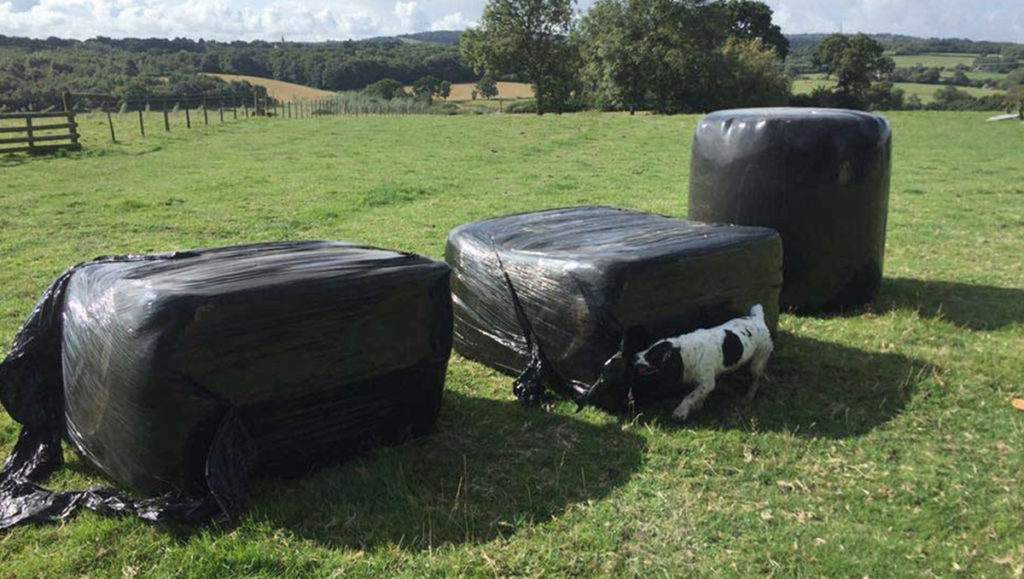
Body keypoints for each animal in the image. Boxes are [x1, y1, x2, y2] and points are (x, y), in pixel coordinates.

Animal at [634, 305, 770, 422]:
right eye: (649, 348)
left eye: (651, 356)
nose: (634, 356)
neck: (685, 351)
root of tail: (758, 319)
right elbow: (697, 394)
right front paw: (697, 405)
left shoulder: (707, 382)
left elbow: (691, 395)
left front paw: (680, 412)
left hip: (757, 362)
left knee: (756, 379)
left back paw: (748, 397)